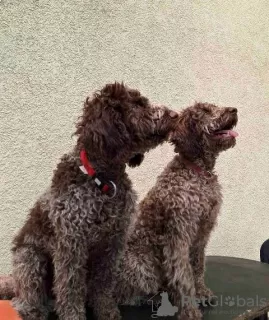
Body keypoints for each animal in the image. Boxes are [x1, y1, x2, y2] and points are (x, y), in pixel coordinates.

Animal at [116, 102, 238, 320]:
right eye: (205, 111)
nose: (234, 110)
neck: (198, 174)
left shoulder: (202, 233)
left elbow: (197, 266)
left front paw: (201, 292)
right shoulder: (178, 236)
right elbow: (183, 276)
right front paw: (189, 310)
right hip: (142, 265)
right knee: (126, 295)